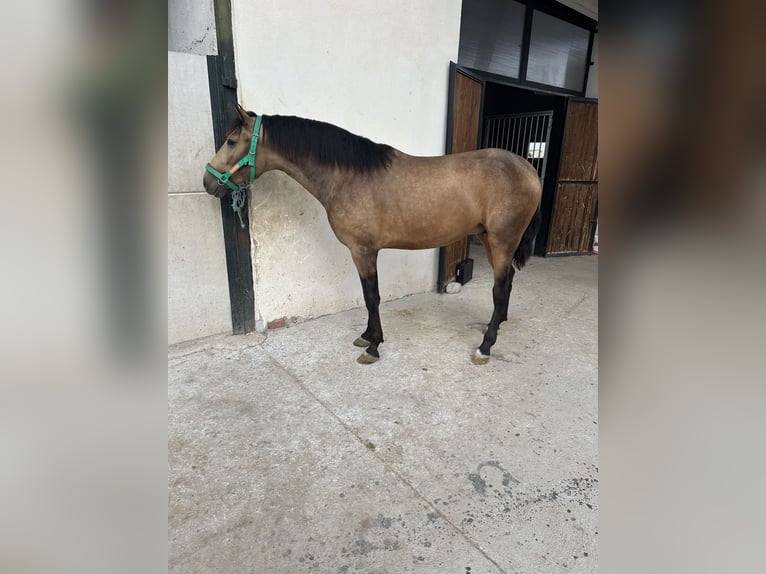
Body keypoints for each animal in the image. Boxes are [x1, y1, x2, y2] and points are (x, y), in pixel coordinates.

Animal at [202, 104, 540, 364]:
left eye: (231, 141)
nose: (207, 181)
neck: (347, 177)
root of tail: (529, 170)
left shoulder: (363, 250)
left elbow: (372, 296)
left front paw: (374, 345)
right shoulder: (362, 252)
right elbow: (368, 297)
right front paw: (366, 337)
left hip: (502, 240)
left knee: (500, 289)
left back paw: (485, 346)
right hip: (487, 238)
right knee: (507, 282)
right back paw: (496, 325)